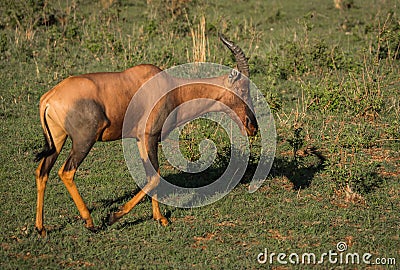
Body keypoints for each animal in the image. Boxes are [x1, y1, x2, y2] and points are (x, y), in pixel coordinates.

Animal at [35, 33, 260, 236]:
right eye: (242, 88)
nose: (253, 126)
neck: (170, 88)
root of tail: (49, 97)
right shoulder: (149, 136)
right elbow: (154, 177)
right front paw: (113, 217)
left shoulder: (140, 139)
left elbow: (150, 175)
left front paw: (160, 218)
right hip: (84, 141)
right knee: (66, 172)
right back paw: (89, 222)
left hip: (57, 140)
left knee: (42, 171)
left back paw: (41, 228)